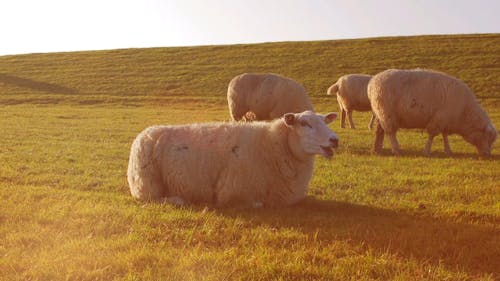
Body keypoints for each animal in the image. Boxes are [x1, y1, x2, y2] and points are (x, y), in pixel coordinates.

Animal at [128, 110, 340, 207]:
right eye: (304, 123)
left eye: (324, 121)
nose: (335, 139)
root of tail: (144, 133)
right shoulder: (231, 192)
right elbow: (257, 204)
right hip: (147, 184)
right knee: (152, 199)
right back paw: (179, 200)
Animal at [368, 68, 496, 155]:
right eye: (487, 137)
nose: (487, 155)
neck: (465, 113)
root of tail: (372, 83)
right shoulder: (439, 119)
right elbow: (432, 135)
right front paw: (427, 150)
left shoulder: (445, 120)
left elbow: (444, 135)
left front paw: (448, 150)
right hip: (386, 113)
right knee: (390, 132)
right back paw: (396, 149)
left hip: (380, 113)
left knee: (380, 131)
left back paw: (377, 149)